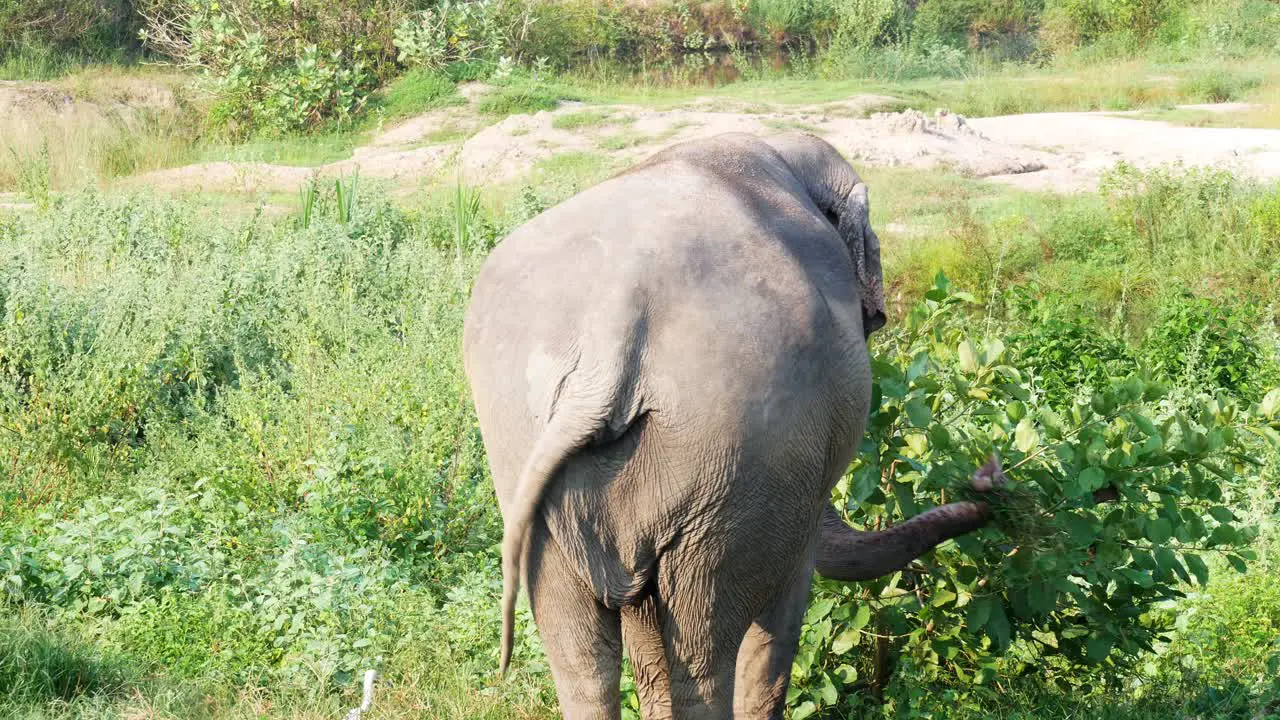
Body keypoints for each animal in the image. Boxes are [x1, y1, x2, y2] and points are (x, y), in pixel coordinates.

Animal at [465, 130, 1003, 717]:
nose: (987, 476)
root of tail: (612, 333)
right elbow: (782, 610)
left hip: (533, 464)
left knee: (582, 659)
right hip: (734, 467)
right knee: (707, 653)